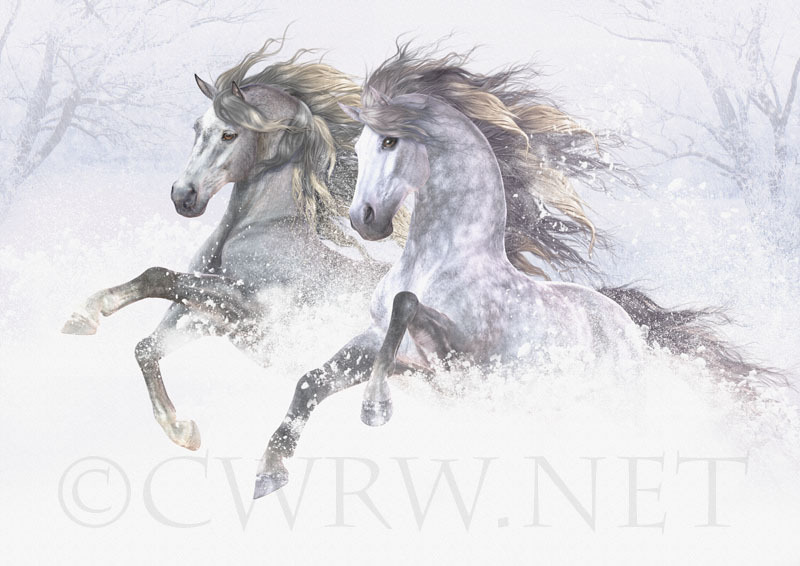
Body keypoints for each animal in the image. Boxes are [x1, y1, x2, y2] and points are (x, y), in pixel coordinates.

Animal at [252, 44, 777, 499]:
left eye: (389, 140)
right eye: (359, 147)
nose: (365, 220)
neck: (437, 262)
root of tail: (626, 323)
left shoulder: (458, 357)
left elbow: (407, 304)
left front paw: (375, 409)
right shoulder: (387, 348)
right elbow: (311, 381)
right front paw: (268, 474)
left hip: (617, 401)